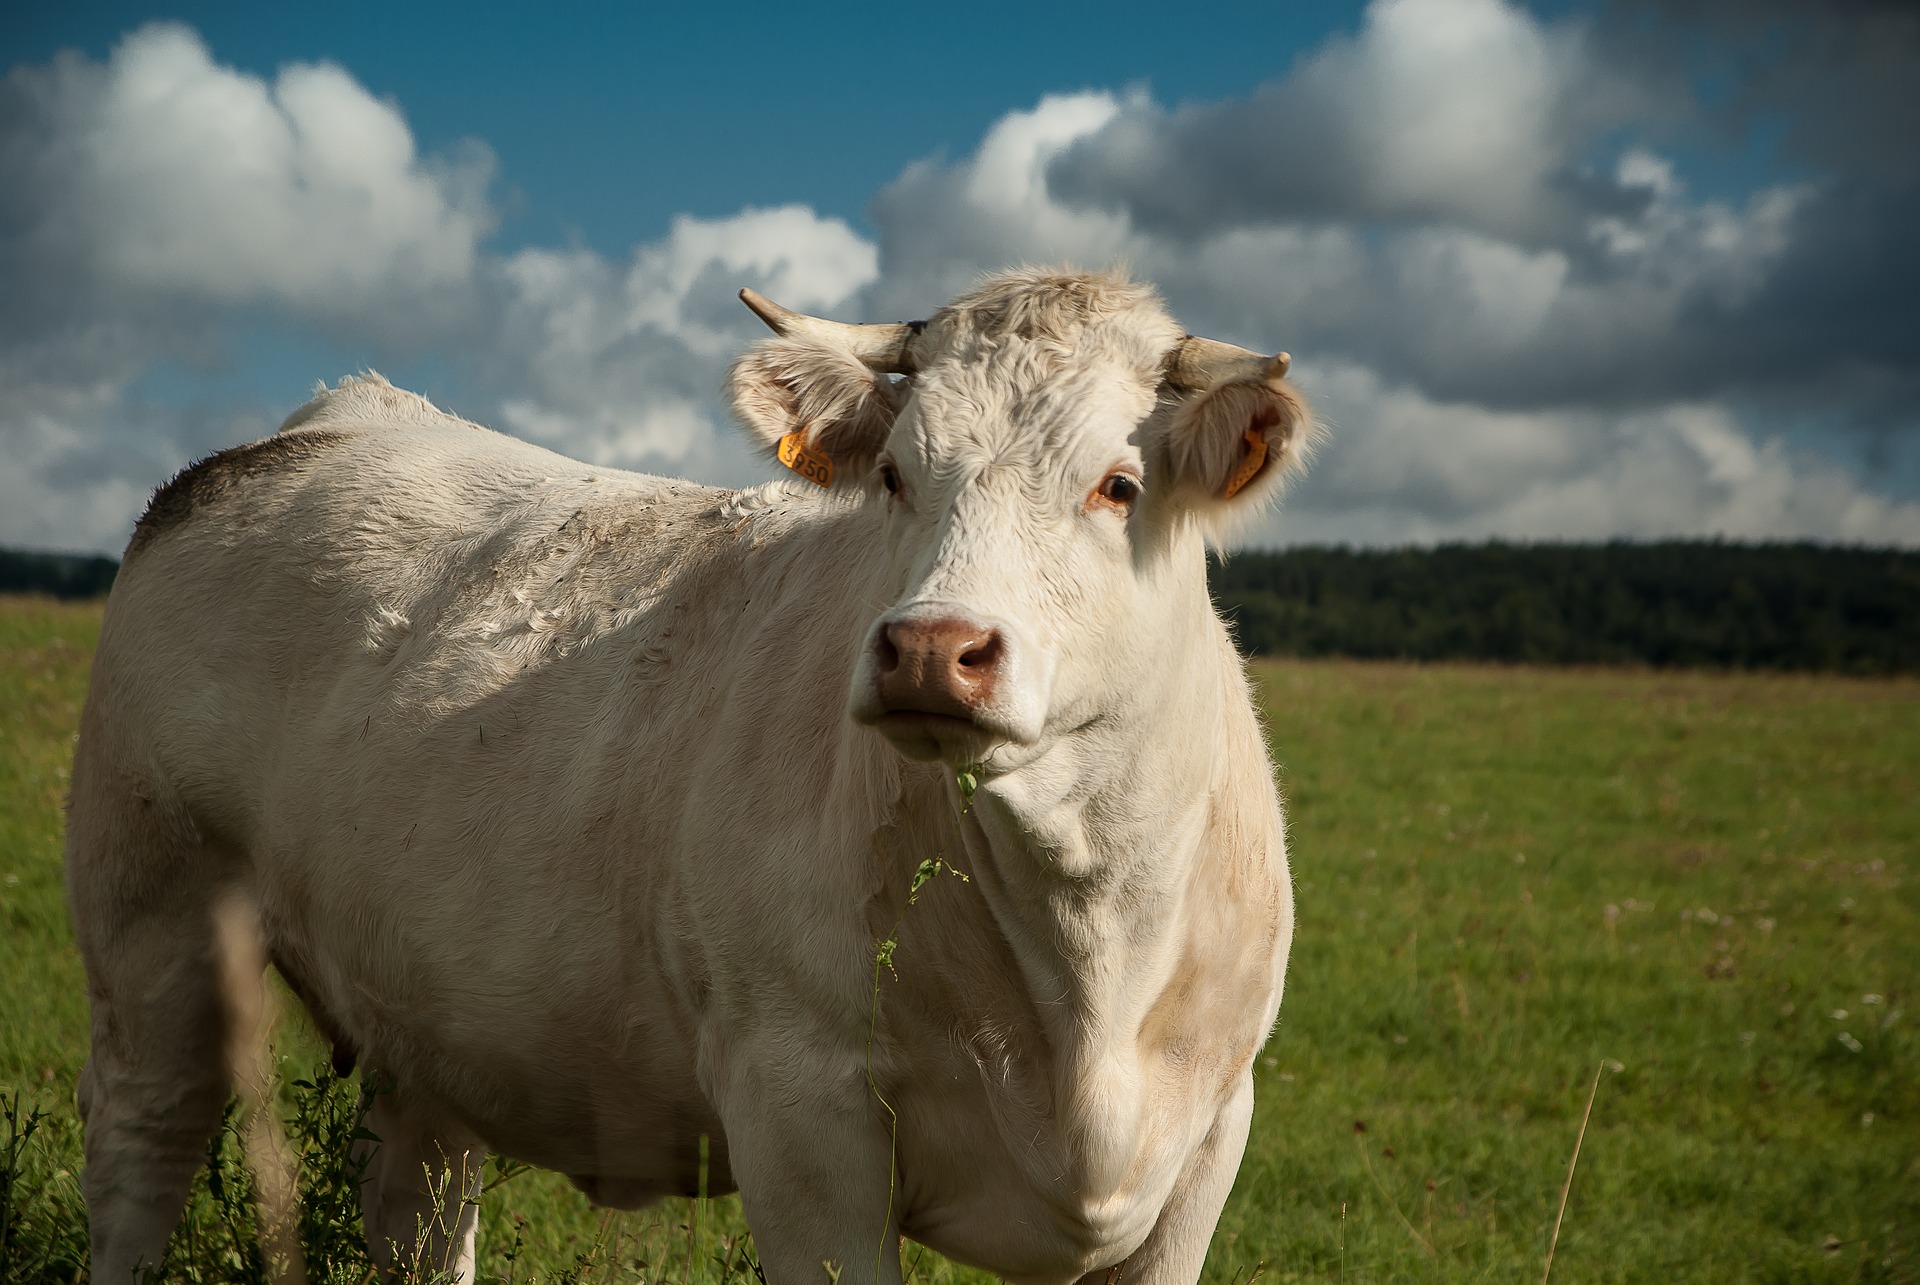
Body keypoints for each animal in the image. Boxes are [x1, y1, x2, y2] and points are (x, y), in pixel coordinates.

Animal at [67, 265, 1313, 1275]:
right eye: (896, 475)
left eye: (1117, 485)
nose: (929, 648)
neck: (1083, 956)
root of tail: (328, 420)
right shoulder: (798, 1108)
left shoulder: (1211, 1132)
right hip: (154, 919)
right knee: (143, 1154)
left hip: (423, 1012)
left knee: (417, 1205)